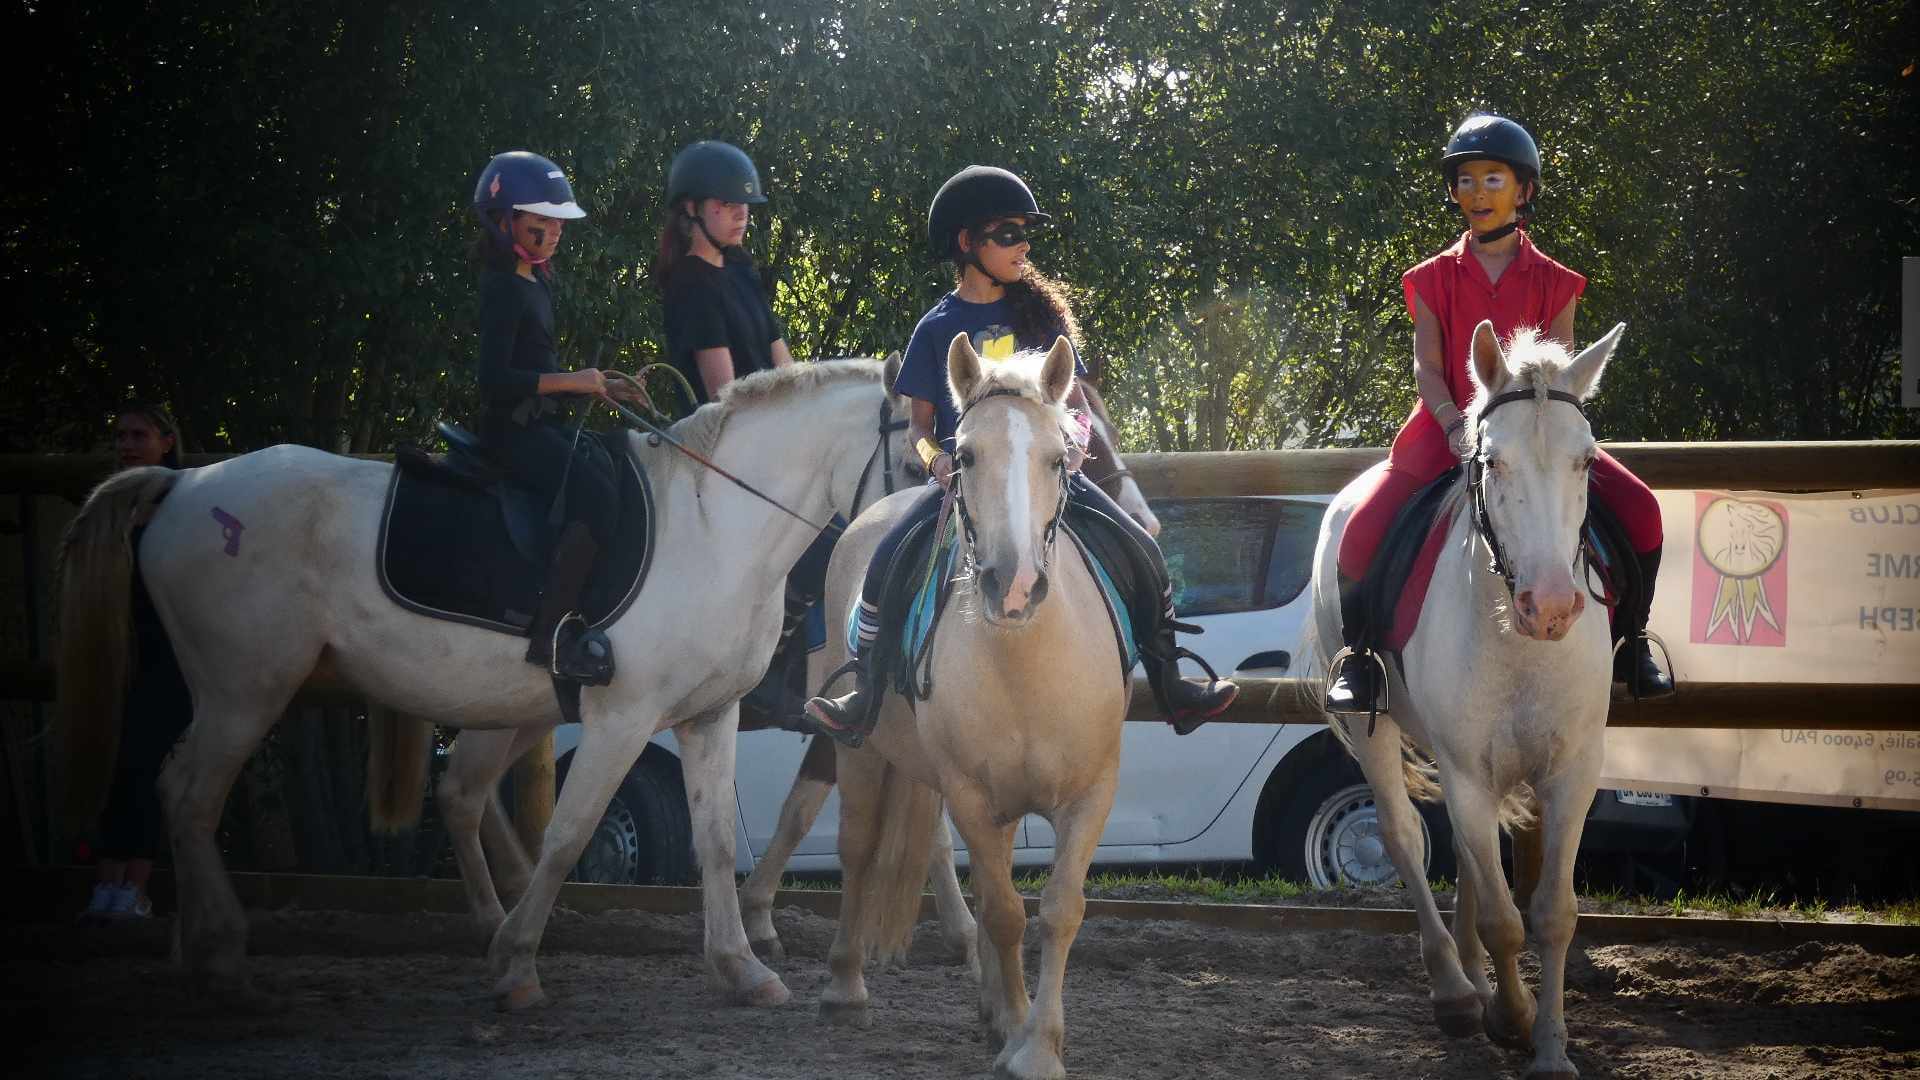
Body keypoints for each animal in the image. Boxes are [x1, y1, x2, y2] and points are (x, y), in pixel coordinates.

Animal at [54, 357, 906, 1006]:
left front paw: (741, 968)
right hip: (247, 688)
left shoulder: (709, 714)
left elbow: (718, 839)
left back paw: (200, 948)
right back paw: (226, 955)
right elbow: (571, 834)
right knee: (191, 794)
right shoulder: (626, 717)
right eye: (920, 443)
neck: (714, 525)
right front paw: (517, 966)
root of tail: (185, 488)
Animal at [806, 336, 1121, 1076]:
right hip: (862, 755)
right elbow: (1005, 913)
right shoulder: (973, 796)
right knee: (859, 849)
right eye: (968, 455)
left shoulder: (1090, 794)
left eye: (1058, 458)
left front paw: (1037, 1042)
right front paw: (1017, 1035)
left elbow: (1058, 909)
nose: (1016, 586)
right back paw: (844, 986)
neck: (1026, 664)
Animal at [1305, 319, 1620, 1076]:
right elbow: (1506, 919)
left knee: (1471, 863)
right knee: (1403, 837)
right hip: (1378, 733)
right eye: (1493, 462)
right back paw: (1455, 990)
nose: (1551, 607)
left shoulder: (1572, 773)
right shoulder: (1467, 771)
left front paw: (1551, 1047)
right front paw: (1512, 1017)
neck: (1519, 643)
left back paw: (1476, 982)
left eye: (1586, 462)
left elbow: (1551, 912)